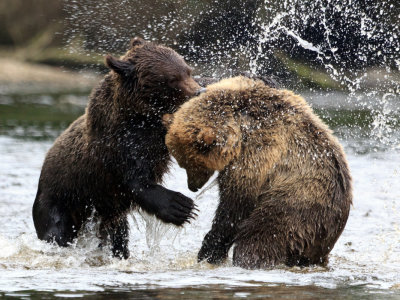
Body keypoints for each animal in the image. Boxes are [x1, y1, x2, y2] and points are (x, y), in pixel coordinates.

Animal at [32, 38, 205, 258]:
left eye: (188, 71)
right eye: (172, 78)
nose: (199, 91)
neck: (140, 116)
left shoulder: (156, 135)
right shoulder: (118, 148)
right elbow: (137, 182)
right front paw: (182, 207)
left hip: (107, 216)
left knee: (118, 236)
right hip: (61, 200)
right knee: (57, 232)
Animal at [164, 76, 352, 268]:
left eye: (191, 164)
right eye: (182, 164)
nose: (192, 187)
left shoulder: (258, 151)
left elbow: (235, 205)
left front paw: (209, 250)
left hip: (298, 204)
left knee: (261, 238)